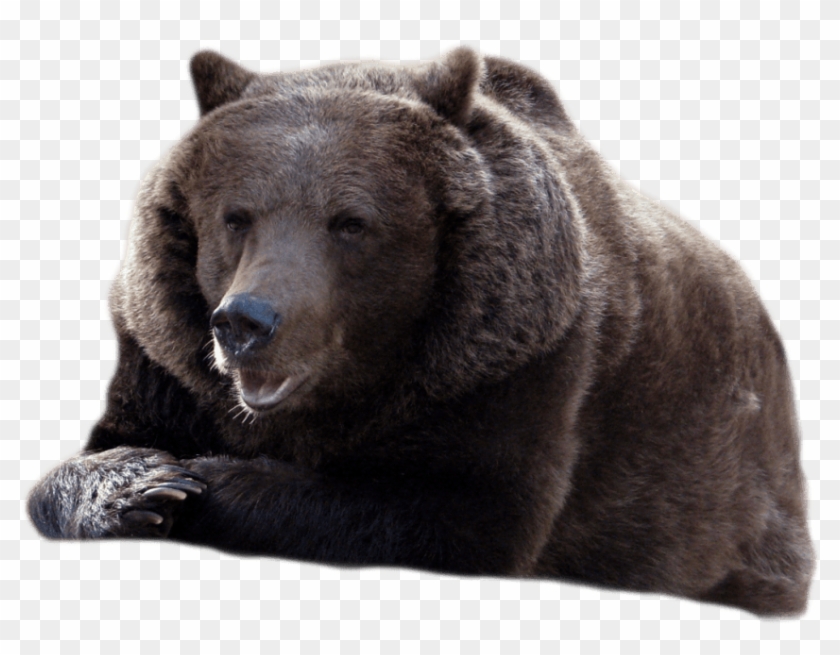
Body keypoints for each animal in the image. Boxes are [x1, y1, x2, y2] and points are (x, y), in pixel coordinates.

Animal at [27, 48, 813, 616]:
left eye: (350, 222)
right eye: (235, 216)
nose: (246, 322)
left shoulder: (516, 359)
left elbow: (448, 508)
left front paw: (201, 481)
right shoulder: (165, 360)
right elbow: (80, 460)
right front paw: (142, 482)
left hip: (730, 497)